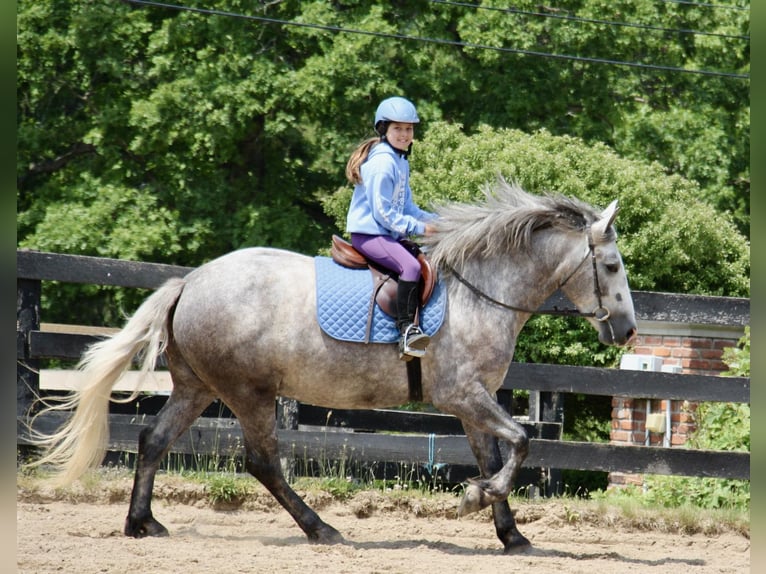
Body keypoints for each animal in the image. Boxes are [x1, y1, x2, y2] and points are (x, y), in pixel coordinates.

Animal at [30, 182, 640, 556]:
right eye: (611, 266)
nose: (628, 330)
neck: (481, 292)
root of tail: (191, 281)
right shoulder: (461, 394)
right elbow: (522, 442)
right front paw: (476, 498)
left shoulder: (475, 402)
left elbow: (499, 455)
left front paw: (508, 532)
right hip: (249, 392)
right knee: (262, 463)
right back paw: (322, 529)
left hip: (197, 388)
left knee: (154, 440)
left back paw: (142, 523)